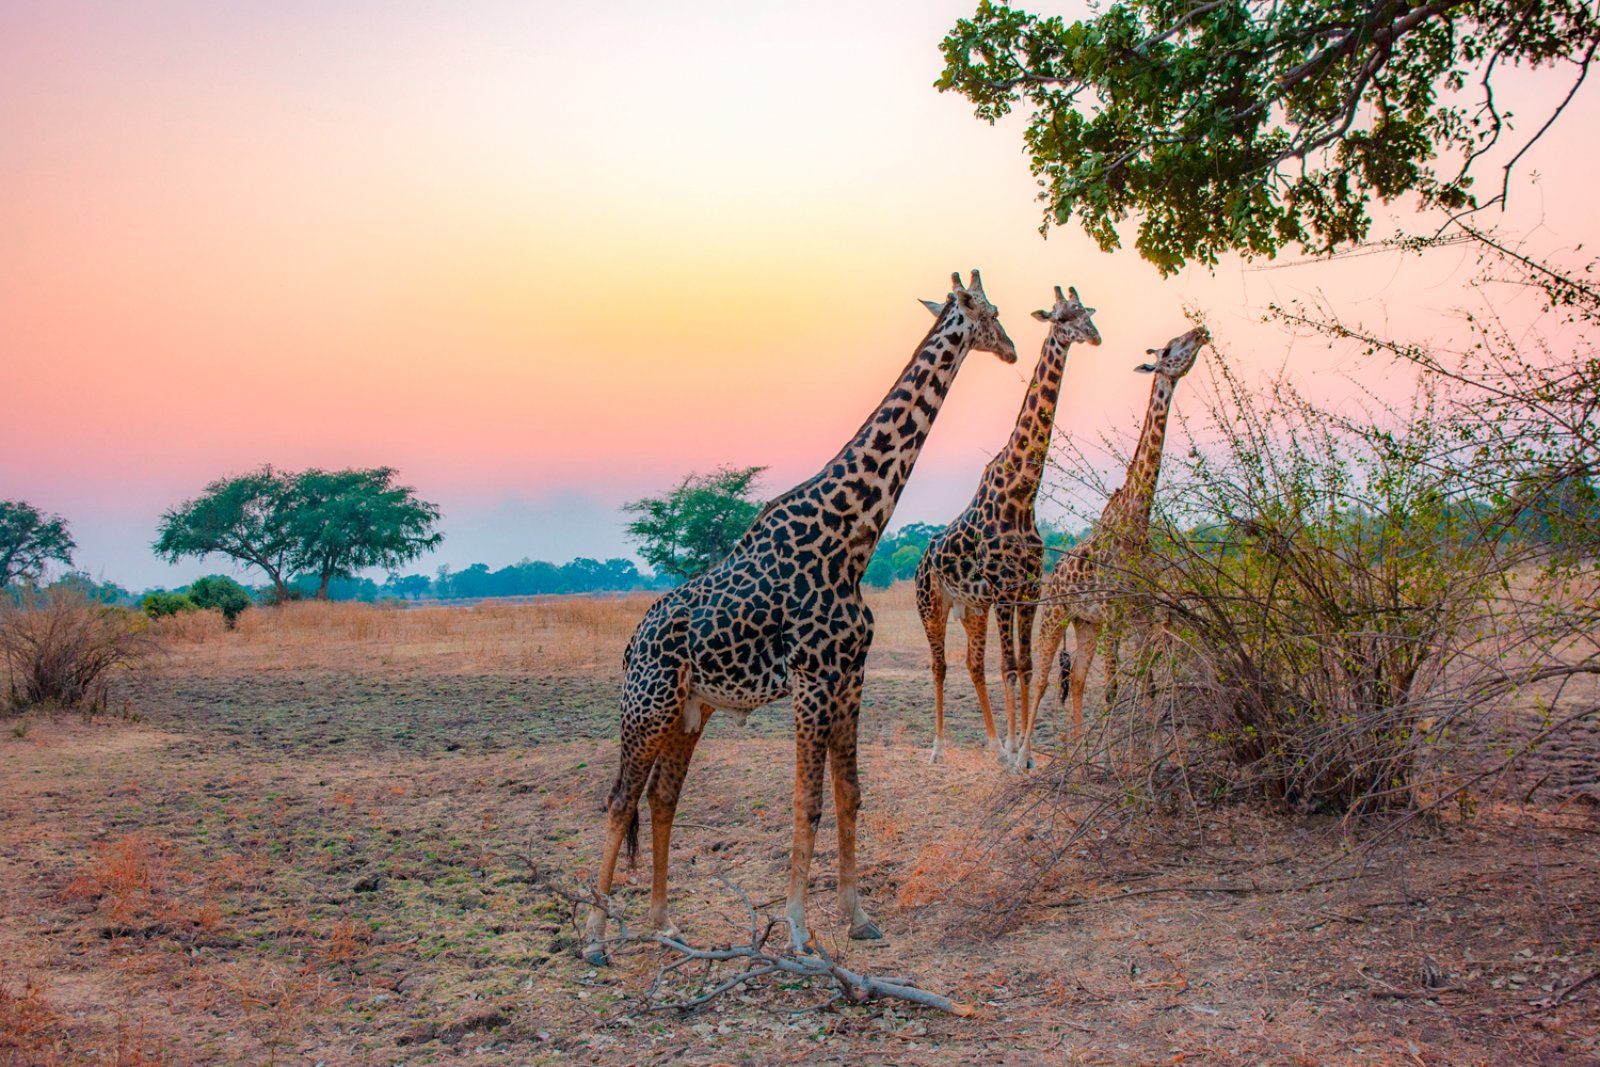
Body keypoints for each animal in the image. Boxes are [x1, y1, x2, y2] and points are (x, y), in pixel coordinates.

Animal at [582, 271, 1017, 966]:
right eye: (991, 311)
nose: (1010, 348)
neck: (853, 535)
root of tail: (632, 644)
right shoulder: (812, 680)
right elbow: (805, 802)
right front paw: (795, 929)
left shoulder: (850, 676)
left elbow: (849, 797)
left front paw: (857, 917)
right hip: (646, 705)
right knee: (621, 797)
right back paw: (597, 938)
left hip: (689, 711)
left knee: (663, 797)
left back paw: (663, 923)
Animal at [915, 283, 1100, 767]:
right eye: (1062, 316)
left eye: (1087, 312)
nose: (1094, 336)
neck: (1022, 494)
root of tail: (922, 558)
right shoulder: (1002, 590)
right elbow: (1010, 668)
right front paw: (1019, 750)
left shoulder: (1028, 589)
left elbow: (1027, 666)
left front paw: (1023, 753)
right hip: (932, 605)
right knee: (941, 665)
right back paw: (939, 748)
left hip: (972, 609)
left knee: (972, 664)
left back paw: (994, 744)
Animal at [1017, 321, 1203, 771]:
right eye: (1170, 348)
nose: (1201, 331)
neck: (1138, 521)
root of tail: (1054, 576)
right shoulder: (1117, 615)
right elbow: (1115, 688)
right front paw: (1119, 765)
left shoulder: (1141, 614)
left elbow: (1147, 686)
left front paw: (1149, 758)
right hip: (1056, 617)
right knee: (1044, 678)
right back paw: (1026, 757)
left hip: (1087, 624)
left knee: (1079, 680)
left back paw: (1081, 756)